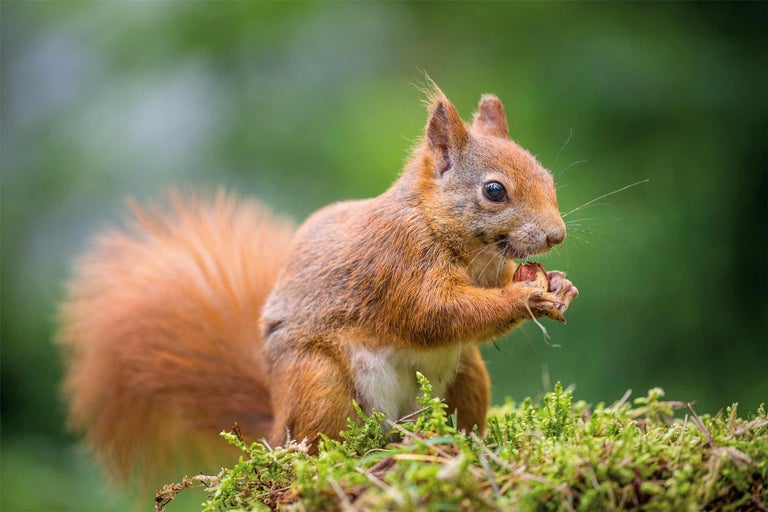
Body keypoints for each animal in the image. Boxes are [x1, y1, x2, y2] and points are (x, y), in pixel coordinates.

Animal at [58, 83, 578, 488]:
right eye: (494, 191)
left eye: (548, 177)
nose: (556, 235)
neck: (453, 239)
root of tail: (276, 431)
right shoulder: (398, 264)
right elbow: (437, 314)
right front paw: (525, 295)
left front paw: (560, 285)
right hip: (318, 382)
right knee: (317, 444)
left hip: (467, 377)